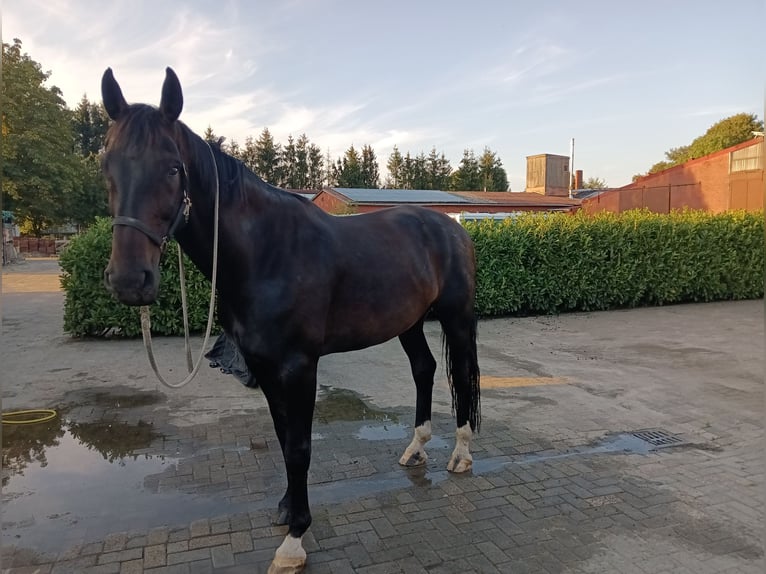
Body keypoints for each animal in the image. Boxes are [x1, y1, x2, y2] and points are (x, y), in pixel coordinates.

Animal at [100, 66, 480, 572]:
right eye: (107, 165)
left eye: (173, 167)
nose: (129, 279)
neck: (266, 251)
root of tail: (453, 227)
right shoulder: (264, 366)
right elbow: (283, 440)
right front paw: (285, 509)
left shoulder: (298, 367)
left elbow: (299, 447)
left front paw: (294, 541)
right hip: (410, 323)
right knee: (425, 369)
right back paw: (415, 448)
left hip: (455, 319)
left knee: (462, 374)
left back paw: (461, 454)